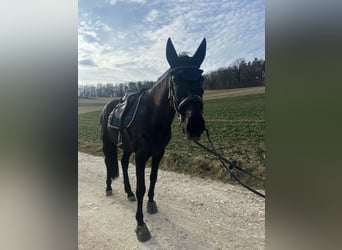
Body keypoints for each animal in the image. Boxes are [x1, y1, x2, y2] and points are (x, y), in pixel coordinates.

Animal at [99, 37, 206, 242]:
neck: (152, 115)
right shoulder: (141, 155)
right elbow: (141, 187)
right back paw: (109, 188)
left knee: (123, 163)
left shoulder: (159, 152)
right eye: (175, 79)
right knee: (109, 162)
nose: (195, 125)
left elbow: (153, 178)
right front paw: (141, 225)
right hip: (107, 143)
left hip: (127, 147)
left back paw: (128, 192)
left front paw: (150, 203)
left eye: (201, 78)